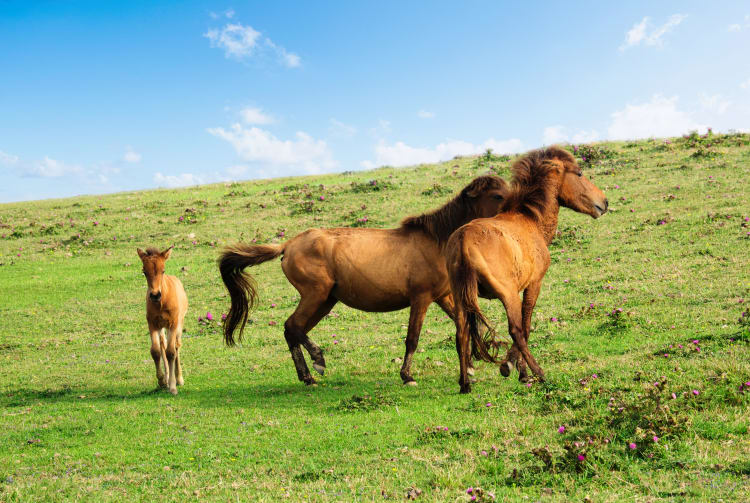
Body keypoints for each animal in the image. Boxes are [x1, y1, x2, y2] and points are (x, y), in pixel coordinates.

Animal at [139, 246, 191, 396]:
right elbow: (156, 351)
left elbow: (171, 352)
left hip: (178, 325)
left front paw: (173, 387)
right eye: (144, 271)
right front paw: (162, 381)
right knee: (163, 344)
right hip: (162, 328)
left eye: (163, 270)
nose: (155, 295)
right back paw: (167, 379)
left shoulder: (173, 324)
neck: (161, 303)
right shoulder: (152, 324)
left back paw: (179, 379)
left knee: (176, 346)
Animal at [220, 175, 508, 388]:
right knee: (293, 326)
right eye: (497, 195)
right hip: (316, 295)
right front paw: (407, 376)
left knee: (293, 330)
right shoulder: (421, 298)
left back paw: (308, 376)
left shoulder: (443, 297)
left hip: (325, 301)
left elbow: (468, 326)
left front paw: (471, 368)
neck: (436, 241)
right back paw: (318, 361)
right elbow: (412, 338)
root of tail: (288, 244)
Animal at [450, 146, 608, 394]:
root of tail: (464, 241)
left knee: (461, 334)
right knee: (515, 330)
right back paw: (539, 373)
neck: (530, 219)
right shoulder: (533, 285)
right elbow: (525, 327)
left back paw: (465, 383)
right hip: (508, 295)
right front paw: (516, 369)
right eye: (580, 173)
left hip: (460, 298)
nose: (604, 202)